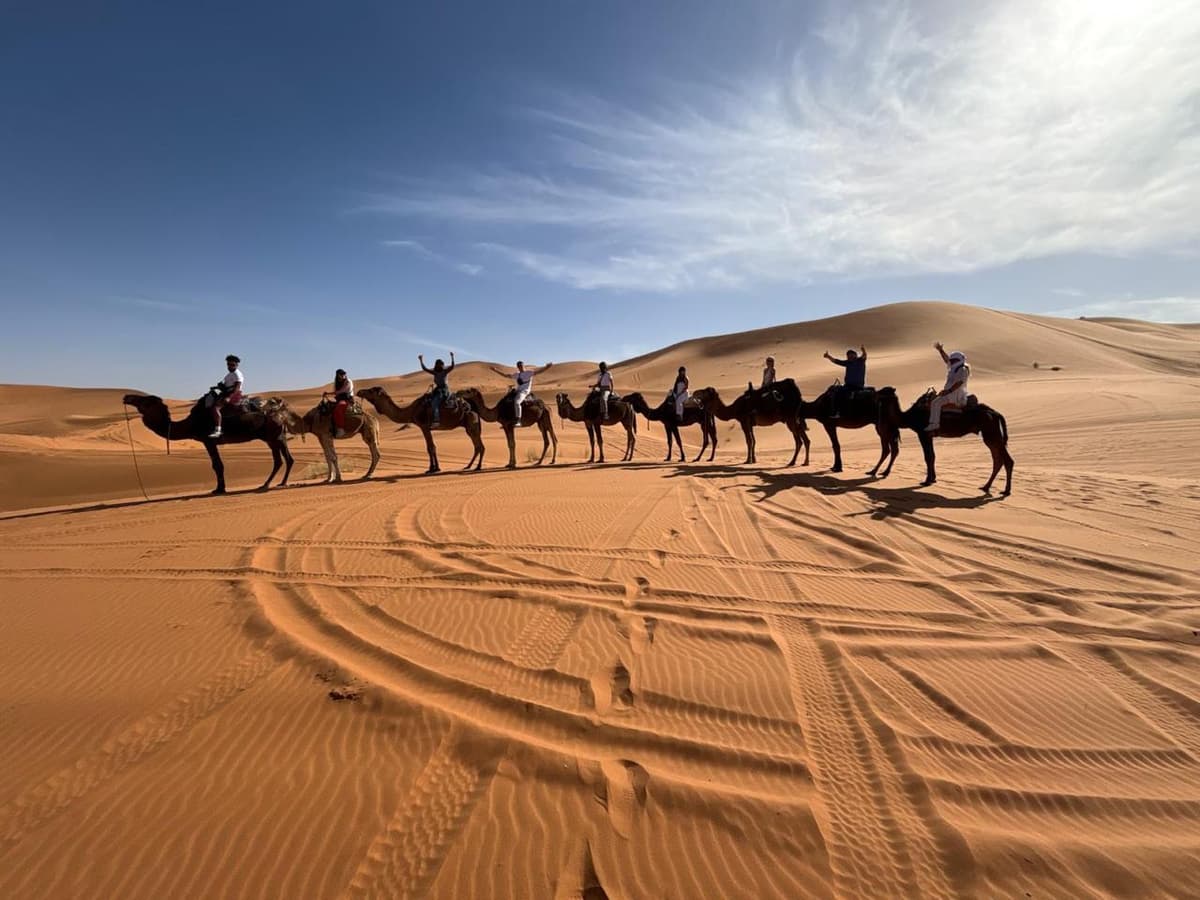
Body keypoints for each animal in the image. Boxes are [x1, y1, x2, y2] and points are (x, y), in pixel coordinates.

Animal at [122, 393, 293, 494]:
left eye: (145, 400)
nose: (127, 397)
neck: (190, 424)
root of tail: (281, 409)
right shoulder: (208, 441)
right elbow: (216, 465)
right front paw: (219, 488)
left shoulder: (208, 440)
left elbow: (217, 465)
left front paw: (219, 489)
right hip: (275, 437)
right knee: (284, 459)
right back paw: (279, 483)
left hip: (273, 436)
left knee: (280, 459)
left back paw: (267, 484)